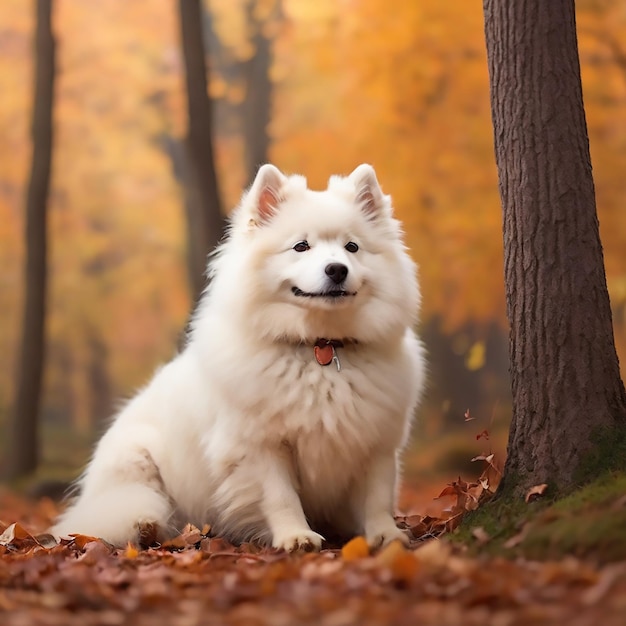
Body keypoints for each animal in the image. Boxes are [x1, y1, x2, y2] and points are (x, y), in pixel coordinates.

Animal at [52, 163, 424, 548]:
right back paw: (146, 525)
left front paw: (386, 535)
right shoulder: (260, 446)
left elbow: (377, 497)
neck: (319, 347)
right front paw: (295, 536)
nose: (337, 269)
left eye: (352, 247)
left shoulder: (376, 443)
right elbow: (281, 496)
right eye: (301, 246)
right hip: (138, 467)